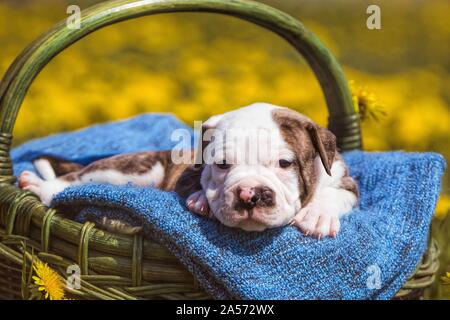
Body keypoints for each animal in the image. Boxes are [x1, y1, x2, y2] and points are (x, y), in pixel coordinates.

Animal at [17, 102, 358, 238]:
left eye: (285, 164)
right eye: (222, 164)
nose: (249, 195)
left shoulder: (346, 181)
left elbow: (336, 194)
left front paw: (317, 215)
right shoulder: (184, 173)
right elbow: (195, 183)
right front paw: (202, 200)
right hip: (128, 170)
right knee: (72, 179)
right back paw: (41, 186)